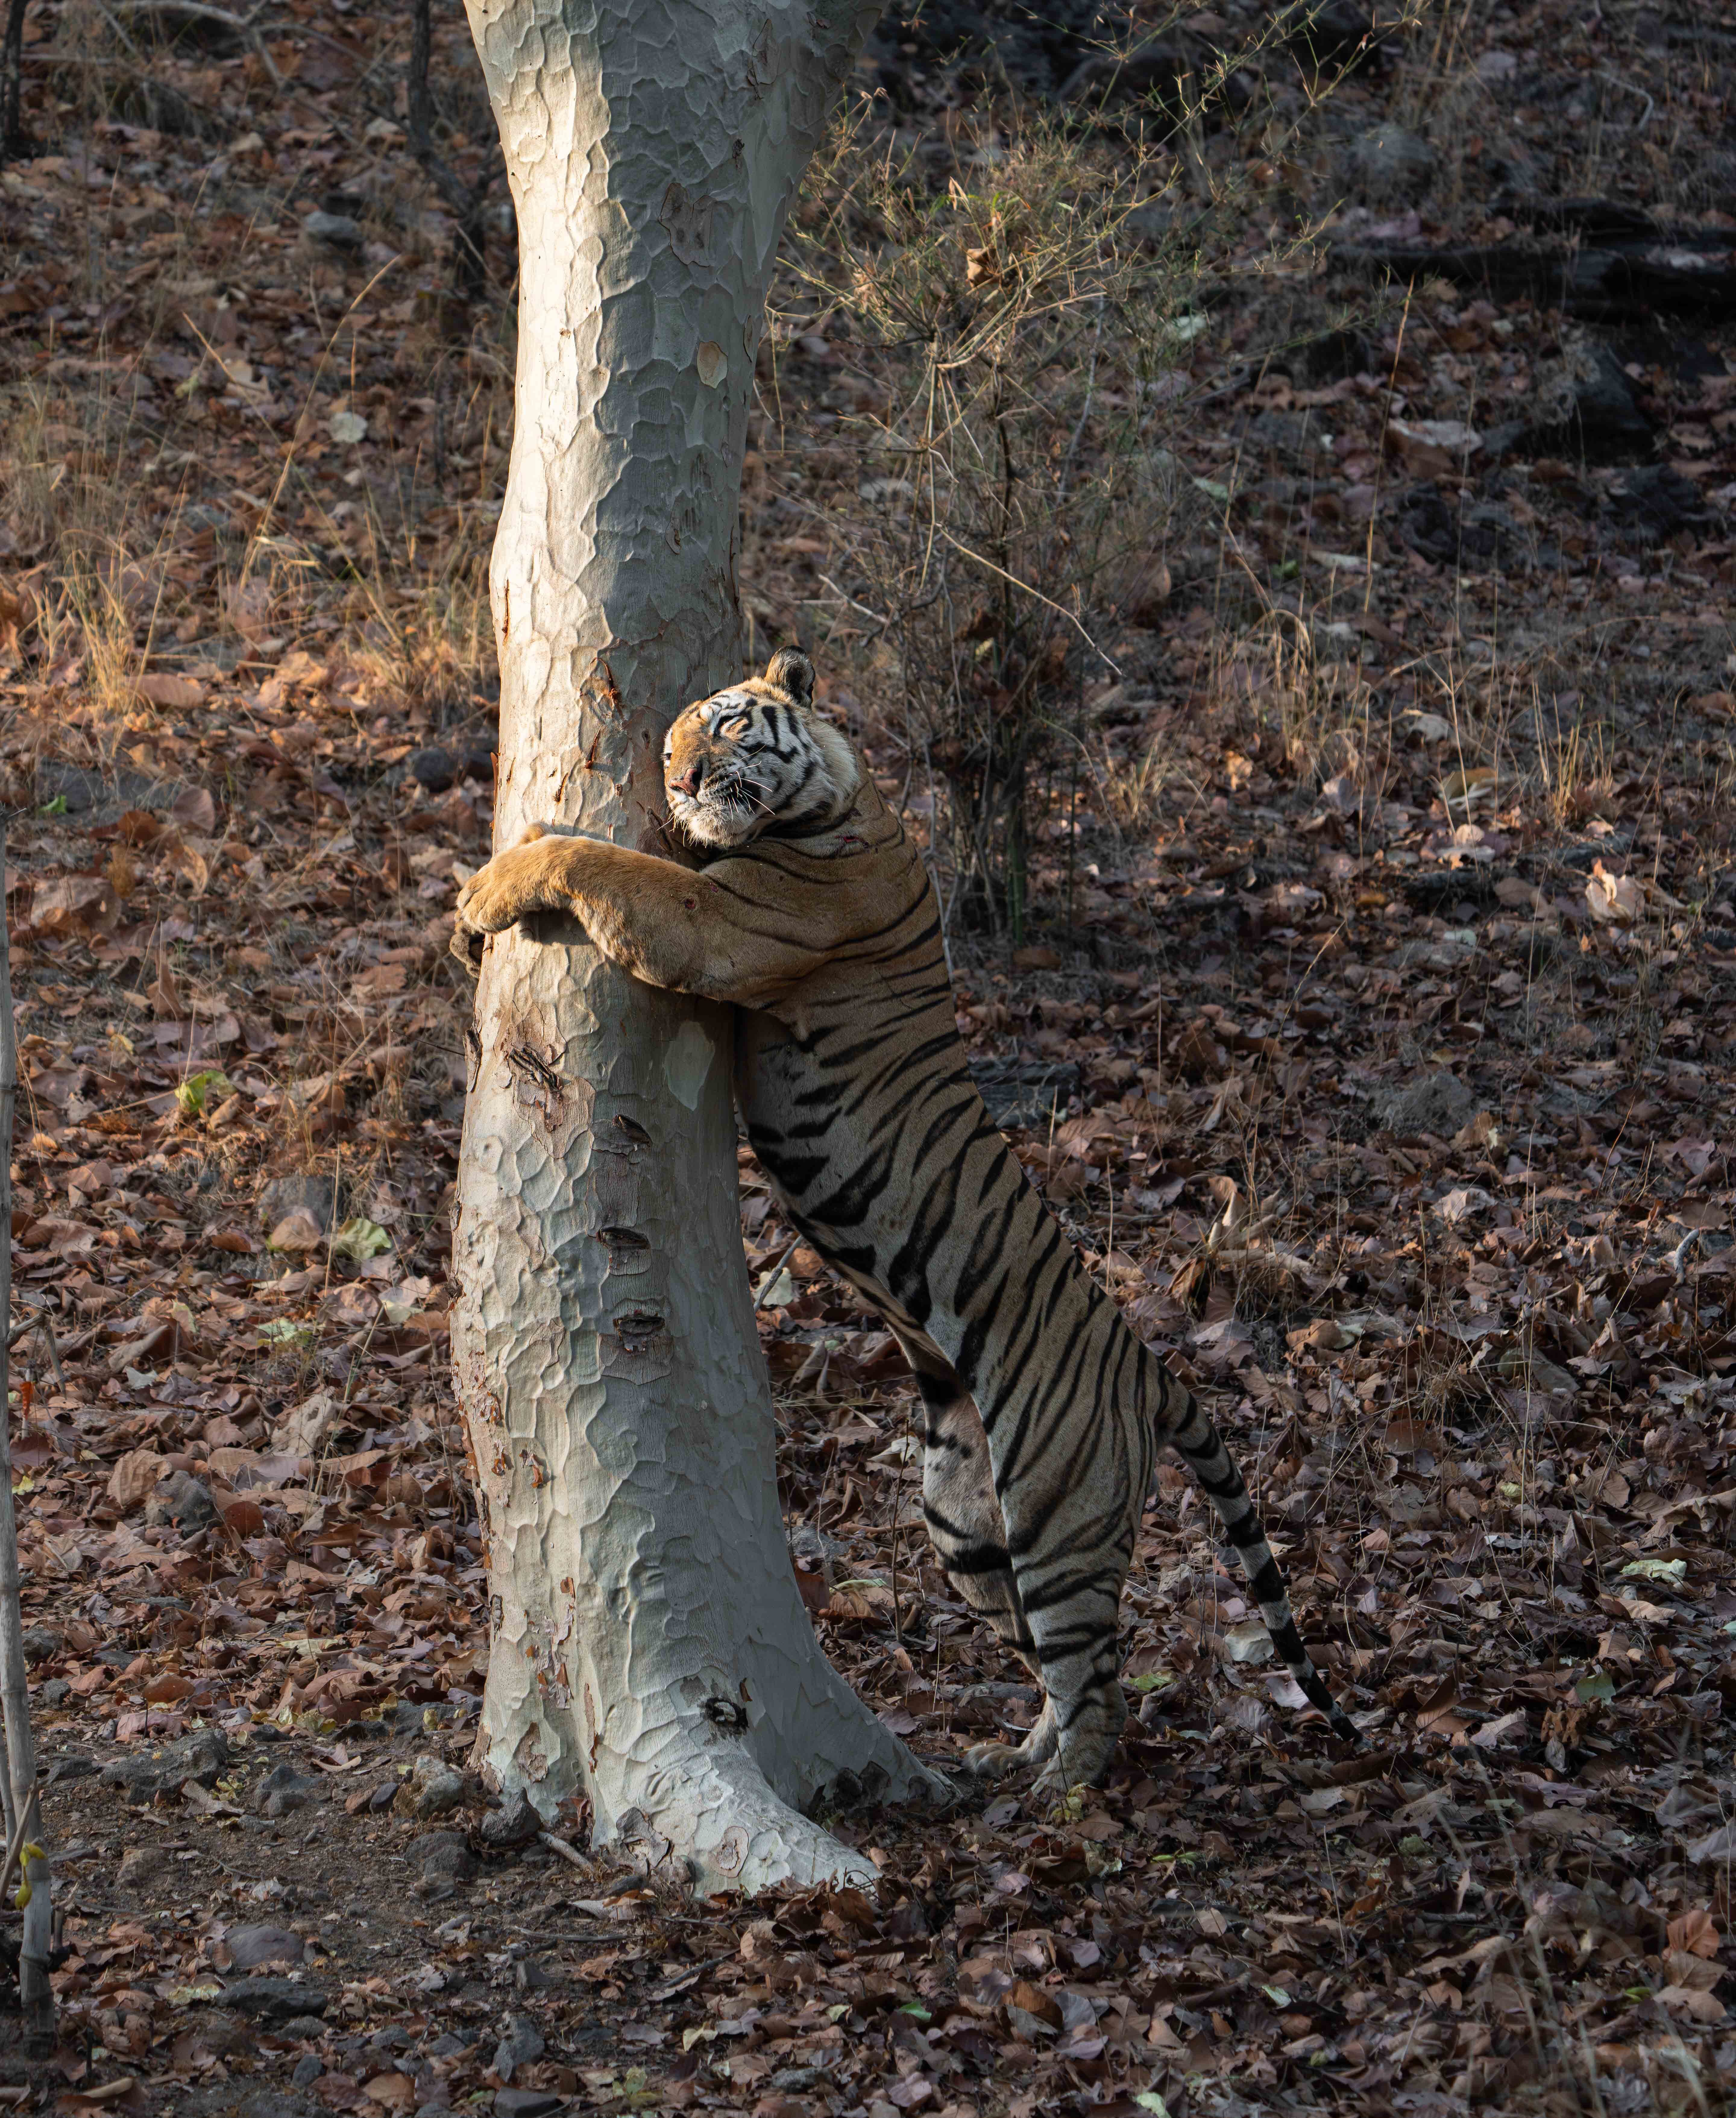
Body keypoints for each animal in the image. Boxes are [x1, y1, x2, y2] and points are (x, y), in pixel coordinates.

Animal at [453, 646, 1356, 1791]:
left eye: (728, 725)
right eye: (672, 743)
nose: (686, 780)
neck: (848, 801)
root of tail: (1148, 1368)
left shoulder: (714, 924)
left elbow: (604, 862)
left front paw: (487, 887)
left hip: (1056, 1515)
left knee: (1100, 1673)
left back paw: (1058, 1790)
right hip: (963, 1526)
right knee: (1059, 1652)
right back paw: (1019, 1750)